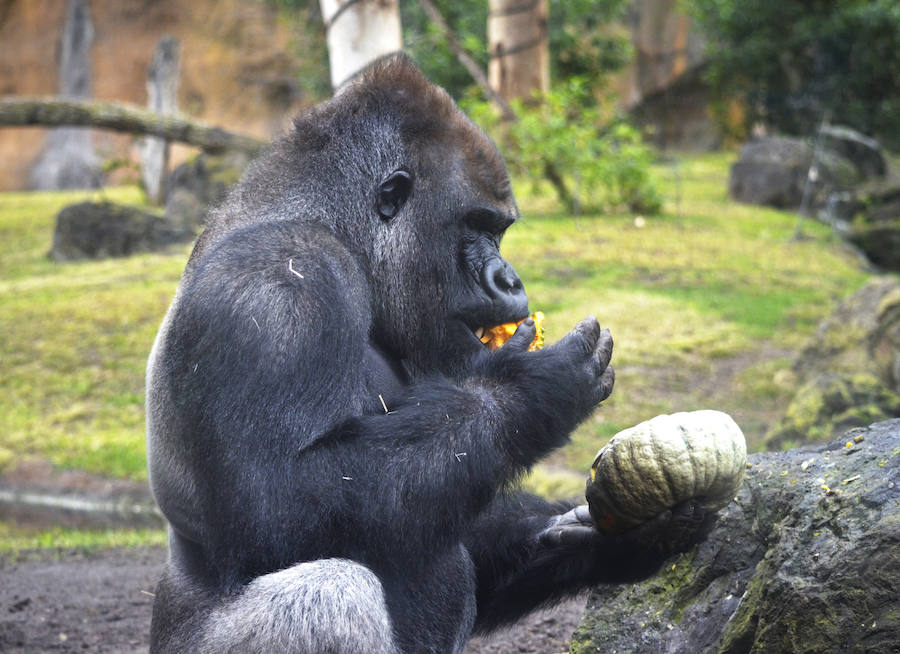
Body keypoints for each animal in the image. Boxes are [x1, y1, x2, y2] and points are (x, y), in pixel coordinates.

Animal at [146, 56, 712, 654]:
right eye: (476, 226)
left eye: (498, 231)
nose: (510, 279)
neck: (337, 229)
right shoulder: (276, 283)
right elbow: (276, 503)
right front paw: (529, 391)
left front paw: (619, 538)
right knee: (329, 592)